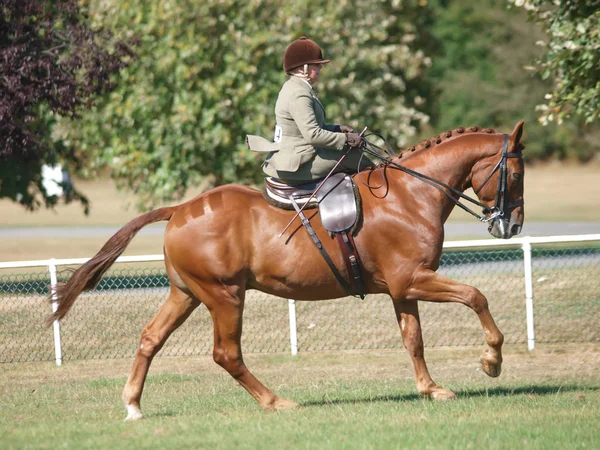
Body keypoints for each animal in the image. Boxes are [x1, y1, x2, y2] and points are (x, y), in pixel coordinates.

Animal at [47, 120, 524, 422]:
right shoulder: (414, 280)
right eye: (516, 175)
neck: (410, 194)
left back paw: (133, 405)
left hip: (186, 294)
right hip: (225, 296)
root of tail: (180, 208)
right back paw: (276, 402)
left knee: (150, 339)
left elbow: (414, 340)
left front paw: (431, 389)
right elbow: (476, 296)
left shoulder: (403, 289)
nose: (512, 226)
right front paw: (492, 361)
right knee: (227, 354)